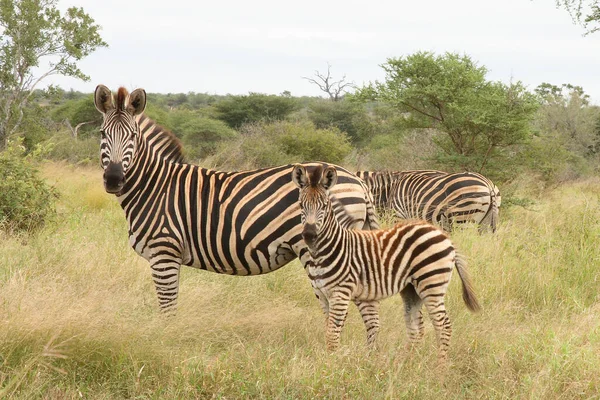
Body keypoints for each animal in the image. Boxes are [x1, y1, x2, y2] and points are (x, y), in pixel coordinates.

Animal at [92, 86, 380, 314]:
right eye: (102, 134)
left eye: (132, 136)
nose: (114, 179)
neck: (155, 186)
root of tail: (358, 182)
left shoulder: (164, 252)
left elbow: (167, 309)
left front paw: (165, 342)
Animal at [292, 164, 480, 360]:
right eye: (301, 206)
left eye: (323, 206)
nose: (309, 235)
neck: (327, 250)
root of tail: (443, 235)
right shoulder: (323, 295)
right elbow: (331, 329)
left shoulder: (341, 293)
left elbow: (334, 333)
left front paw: (333, 363)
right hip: (412, 289)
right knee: (416, 326)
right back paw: (408, 362)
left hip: (431, 283)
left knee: (443, 325)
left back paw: (439, 364)